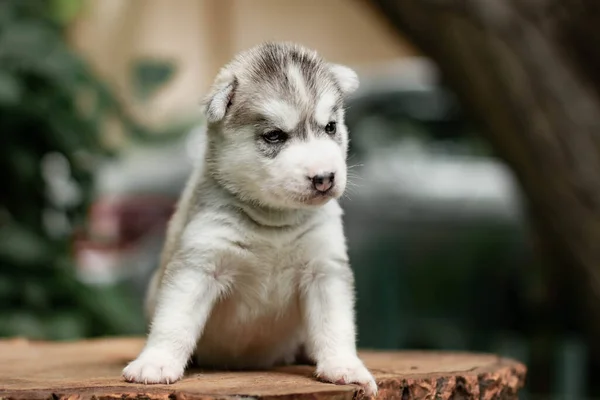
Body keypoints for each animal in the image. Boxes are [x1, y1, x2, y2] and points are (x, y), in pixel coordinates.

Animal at [120, 41, 376, 396]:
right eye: (274, 136)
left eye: (330, 127)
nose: (325, 178)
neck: (273, 224)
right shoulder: (199, 265)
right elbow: (174, 321)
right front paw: (156, 362)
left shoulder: (324, 269)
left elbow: (335, 324)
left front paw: (344, 366)